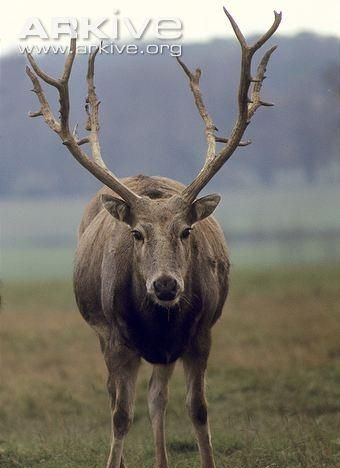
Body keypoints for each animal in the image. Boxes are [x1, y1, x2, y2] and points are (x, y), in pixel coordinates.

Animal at [26, 7, 282, 468]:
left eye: (186, 230)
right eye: (136, 233)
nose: (165, 285)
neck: (158, 319)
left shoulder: (200, 333)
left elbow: (197, 410)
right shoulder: (115, 337)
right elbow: (120, 416)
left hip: (168, 350)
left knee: (157, 396)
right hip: (102, 332)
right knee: (118, 396)